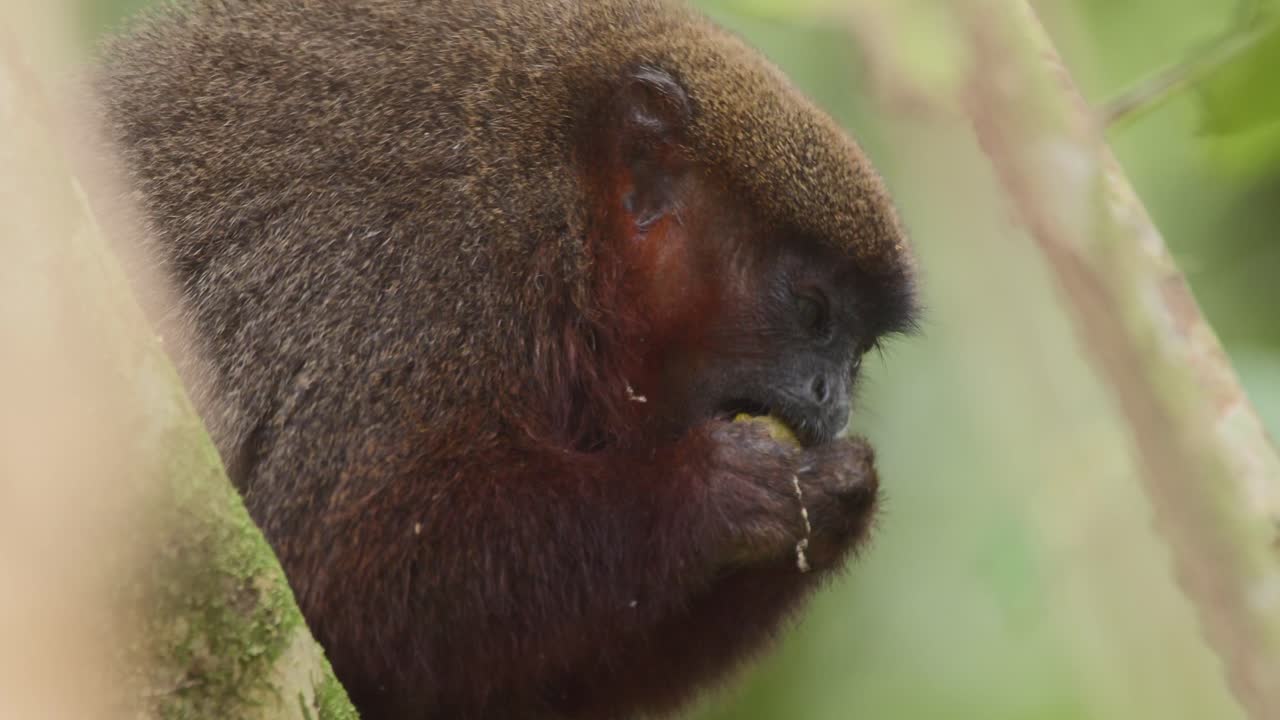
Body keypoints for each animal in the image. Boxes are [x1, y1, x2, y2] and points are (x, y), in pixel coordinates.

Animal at [97, 0, 918, 718]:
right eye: (813, 312)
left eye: (857, 352)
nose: (834, 395)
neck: (563, 212)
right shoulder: (408, 281)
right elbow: (349, 569)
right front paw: (722, 488)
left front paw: (845, 494)